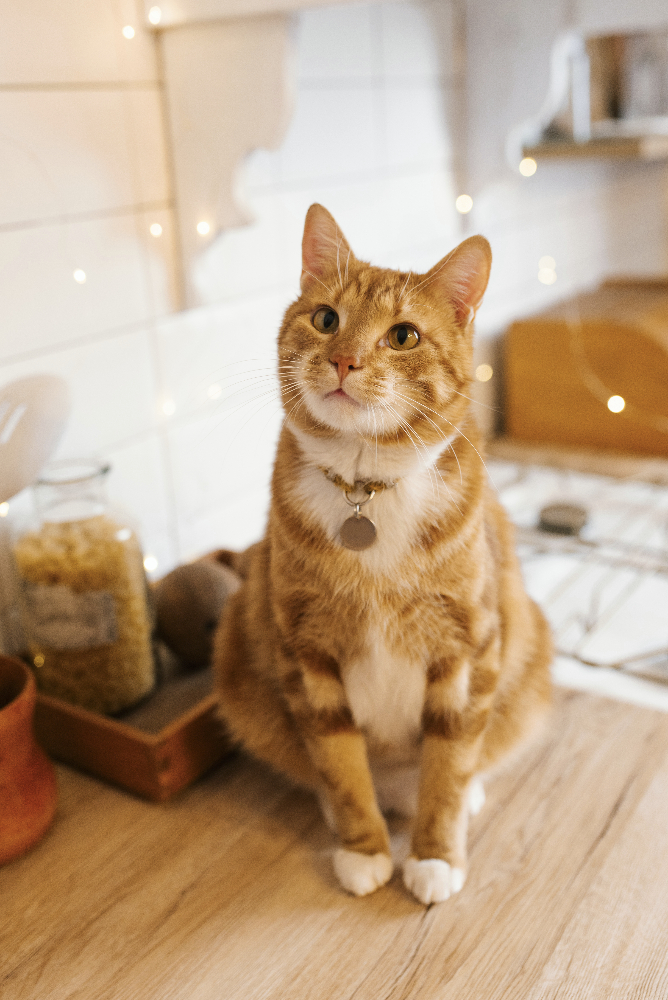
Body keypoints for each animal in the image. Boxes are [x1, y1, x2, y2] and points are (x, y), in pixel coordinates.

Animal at [215, 203, 552, 908]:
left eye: (403, 336)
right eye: (325, 319)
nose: (343, 360)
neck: (366, 493)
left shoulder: (465, 649)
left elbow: (447, 770)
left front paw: (435, 856)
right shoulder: (306, 652)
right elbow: (341, 765)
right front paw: (364, 850)